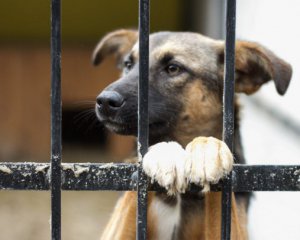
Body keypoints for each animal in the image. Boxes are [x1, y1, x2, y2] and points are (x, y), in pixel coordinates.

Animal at [92, 30, 292, 240]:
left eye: (173, 68)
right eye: (128, 65)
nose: (104, 101)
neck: (180, 197)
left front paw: (207, 151)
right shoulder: (115, 230)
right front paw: (165, 152)